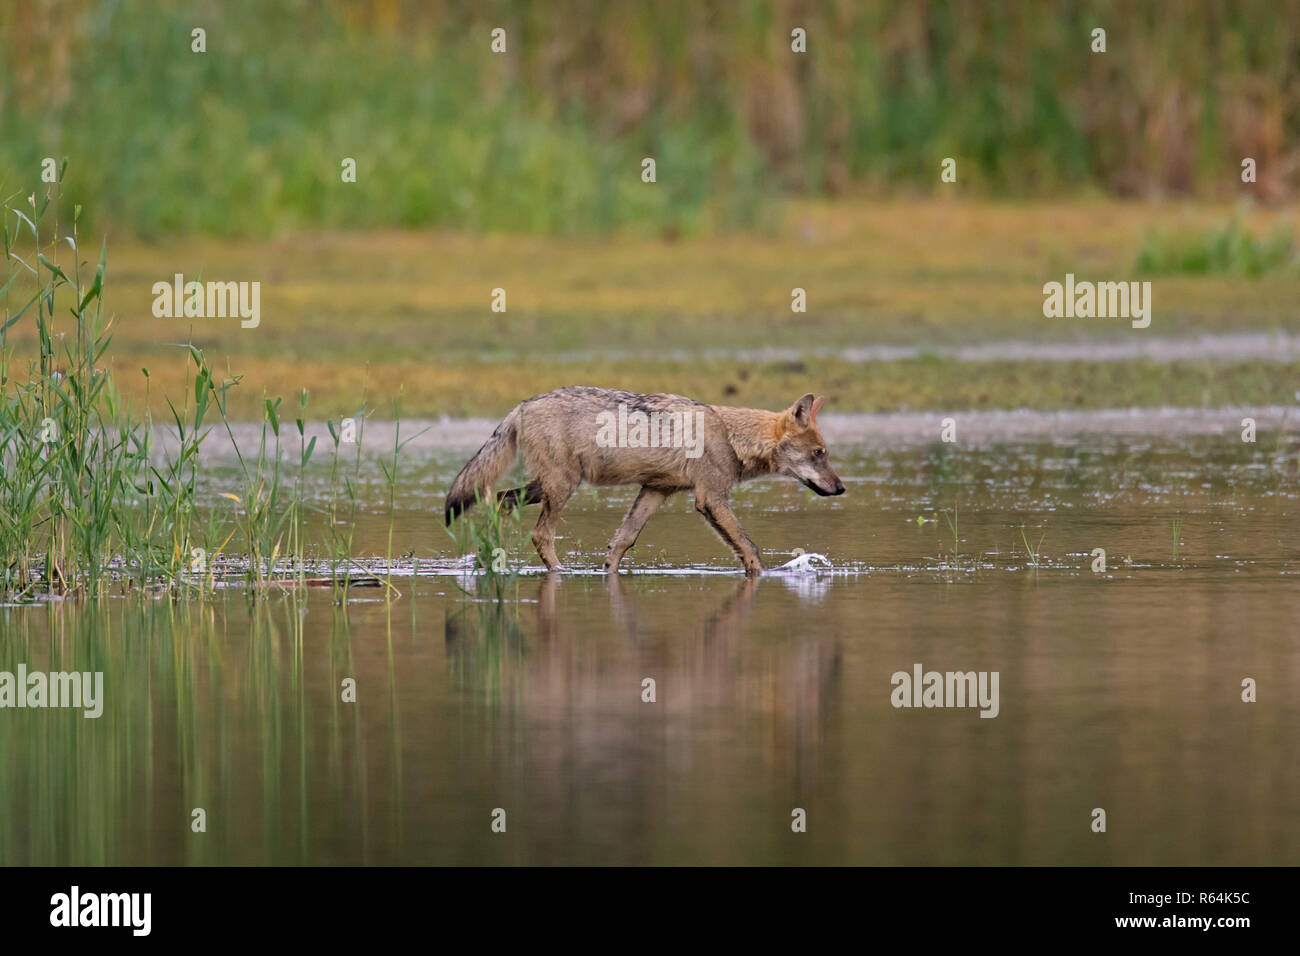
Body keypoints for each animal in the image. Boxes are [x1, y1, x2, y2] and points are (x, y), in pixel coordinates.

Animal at [441, 387, 847, 574]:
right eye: (819, 454)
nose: (841, 488)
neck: (730, 435)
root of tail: (520, 405)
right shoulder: (711, 500)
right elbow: (750, 548)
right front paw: (767, 577)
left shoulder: (654, 492)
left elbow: (623, 541)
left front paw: (607, 574)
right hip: (562, 488)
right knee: (539, 534)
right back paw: (561, 573)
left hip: (546, 488)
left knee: (499, 501)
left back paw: (492, 555)